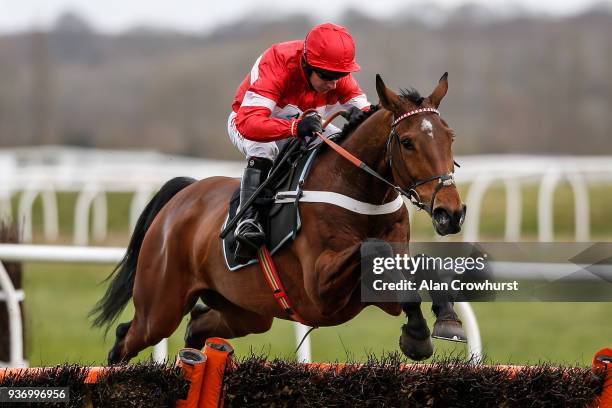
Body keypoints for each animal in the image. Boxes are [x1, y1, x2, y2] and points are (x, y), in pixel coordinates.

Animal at [91, 73, 466, 364]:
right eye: (407, 142)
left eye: (450, 136)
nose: (451, 213)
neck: (358, 194)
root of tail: (183, 196)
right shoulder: (320, 289)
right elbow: (374, 249)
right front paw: (419, 332)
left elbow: (421, 265)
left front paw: (443, 321)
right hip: (159, 307)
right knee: (126, 338)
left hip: (246, 313)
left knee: (196, 325)